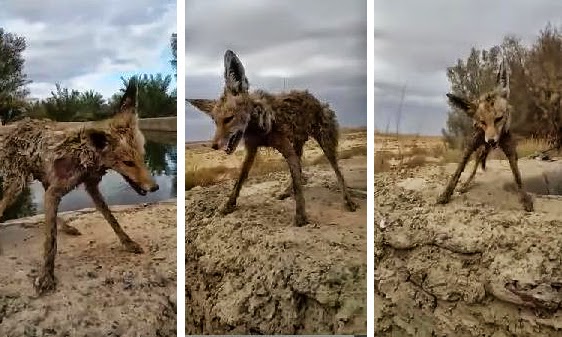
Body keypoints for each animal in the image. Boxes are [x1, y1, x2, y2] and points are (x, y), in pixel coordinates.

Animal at [0, 80, 160, 294]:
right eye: (128, 163)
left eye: (142, 157)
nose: (155, 187)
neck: (86, 156)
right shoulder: (56, 191)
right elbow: (51, 242)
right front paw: (46, 276)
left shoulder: (90, 187)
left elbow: (112, 219)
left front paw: (128, 242)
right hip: (17, 184)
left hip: (40, 179)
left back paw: (67, 226)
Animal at [186, 48, 356, 226]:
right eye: (215, 121)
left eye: (229, 119)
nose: (214, 145)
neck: (257, 128)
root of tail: (315, 98)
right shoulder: (252, 150)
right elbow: (240, 180)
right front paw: (228, 205)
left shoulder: (285, 147)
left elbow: (297, 183)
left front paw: (301, 216)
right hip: (298, 144)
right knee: (300, 168)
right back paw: (286, 191)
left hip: (325, 142)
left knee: (337, 171)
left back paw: (348, 200)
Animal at [436, 57, 532, 210]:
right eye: (482, 122)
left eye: (498, 119)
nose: (491, 141)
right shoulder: (470, 146)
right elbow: (457, 173)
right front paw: (446, 194)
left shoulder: (510, 150)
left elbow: (517, 176)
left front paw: (525, 198)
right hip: (480, 150)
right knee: (475, 167)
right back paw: (466, 184)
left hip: (483, 150)